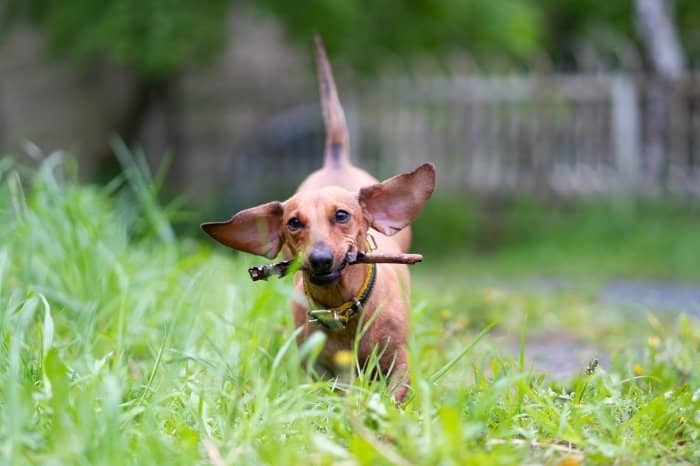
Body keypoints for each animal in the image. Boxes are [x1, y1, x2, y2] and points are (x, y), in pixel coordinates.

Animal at [200, 36, 434, 402]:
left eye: (342, 215)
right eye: (293, 223)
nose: (321, 259)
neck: (341, 307)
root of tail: (336, 158)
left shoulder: (397, 362)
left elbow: (393, 397)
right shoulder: (321, 372)